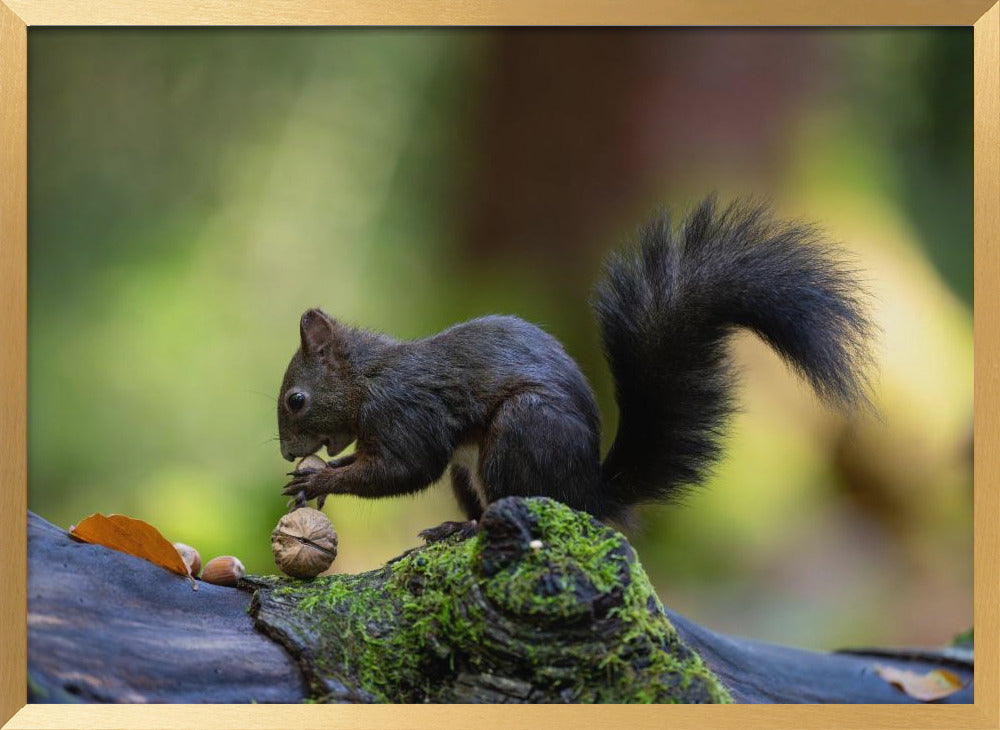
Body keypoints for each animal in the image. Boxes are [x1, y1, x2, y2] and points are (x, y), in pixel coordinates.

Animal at [278, 196, 873, 535]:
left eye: (296, 400)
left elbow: (404, 469)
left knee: (520, 505)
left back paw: (464, 532)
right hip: (470, 470)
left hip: (522, 432)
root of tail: (589, 493)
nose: (286, 452)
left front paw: (321, 477)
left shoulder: (405, 411)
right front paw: (319, 474)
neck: (367, 379)